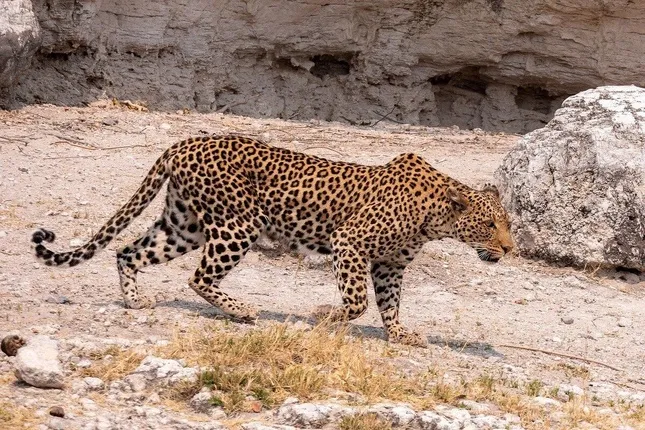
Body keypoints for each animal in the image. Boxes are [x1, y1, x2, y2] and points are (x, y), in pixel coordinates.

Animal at [31, 134, 512, 346]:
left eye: (506, 224)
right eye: (491, 226)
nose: (510, 249)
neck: (437, 217)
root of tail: (184, 142)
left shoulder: (391, 264)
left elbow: (390, 303)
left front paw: (399, 333)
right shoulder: (349, 242)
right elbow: (357, 300)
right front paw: (323, 315)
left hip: (184, 225)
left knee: (127, 250)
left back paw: (135, 300)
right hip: (238, 224)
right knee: (198, 277)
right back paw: (242, 311)